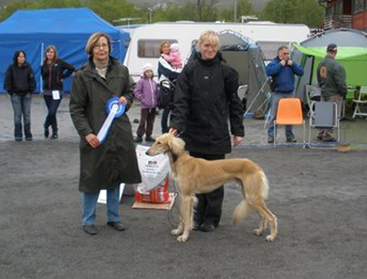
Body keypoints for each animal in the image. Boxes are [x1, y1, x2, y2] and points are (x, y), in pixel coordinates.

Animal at [147, 134, 278, 243]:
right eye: (155, 141)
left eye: (159, 143)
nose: (147, 153)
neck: (180, 161)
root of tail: (256, 166)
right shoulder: (183, 196)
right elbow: (182, 217)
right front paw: (179, 231)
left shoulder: (187, 197)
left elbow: (186, 218)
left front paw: (184, 236)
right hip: (250, 196)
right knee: (263, 215)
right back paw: (260, 231)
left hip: (252, 196)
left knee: (271, 217)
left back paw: (272, 236)